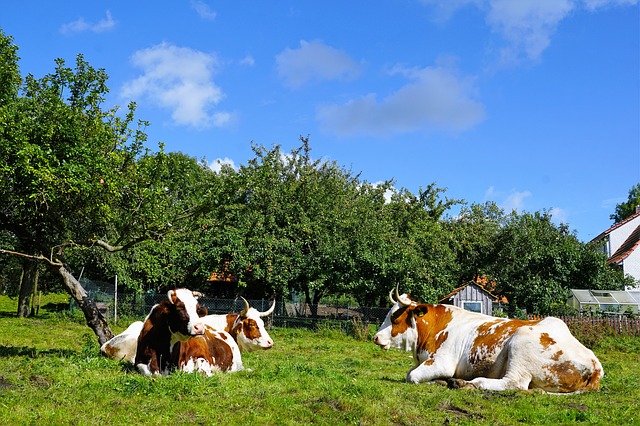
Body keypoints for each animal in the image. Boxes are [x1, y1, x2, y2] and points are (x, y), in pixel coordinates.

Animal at [372, 286, 604, 392]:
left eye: (394, 317)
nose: (375, 337)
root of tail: (595, 364)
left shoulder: (442, 362)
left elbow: (411, 376)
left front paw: (441, 380)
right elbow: (410, 372)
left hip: (520, 343)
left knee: (514, 383)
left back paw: (471, 383)